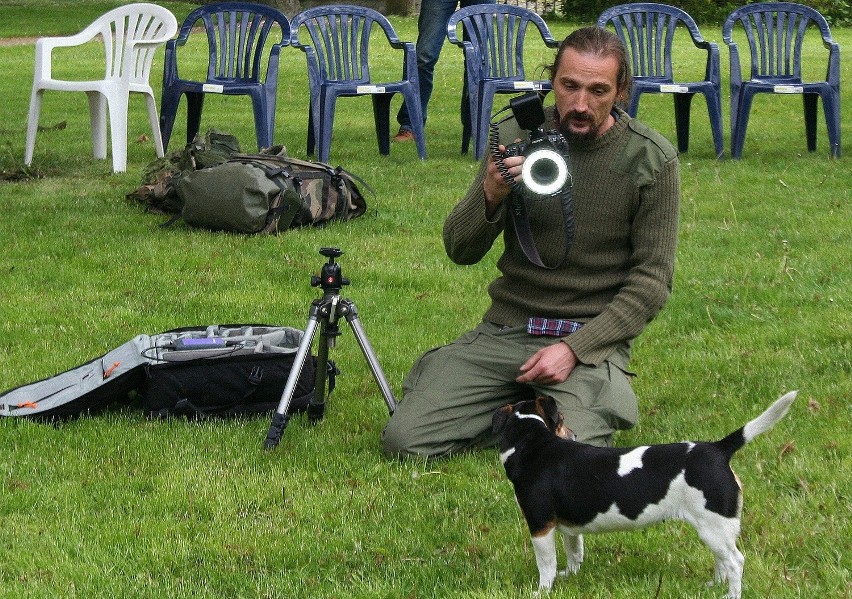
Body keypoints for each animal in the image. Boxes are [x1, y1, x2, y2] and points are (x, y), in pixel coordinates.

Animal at [492, 392, 800, 596]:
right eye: (562, 420)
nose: (575, 435)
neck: (532, 443)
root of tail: (718, 449)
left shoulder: (540, 525)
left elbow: (546, 564)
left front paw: (543, 590)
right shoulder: (570, 525)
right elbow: (574, 552)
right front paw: (570, 576)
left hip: (713, 526)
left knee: (736, 562)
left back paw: (731, 595)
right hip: (715, 528)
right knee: (723, 560)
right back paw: (714, 585)